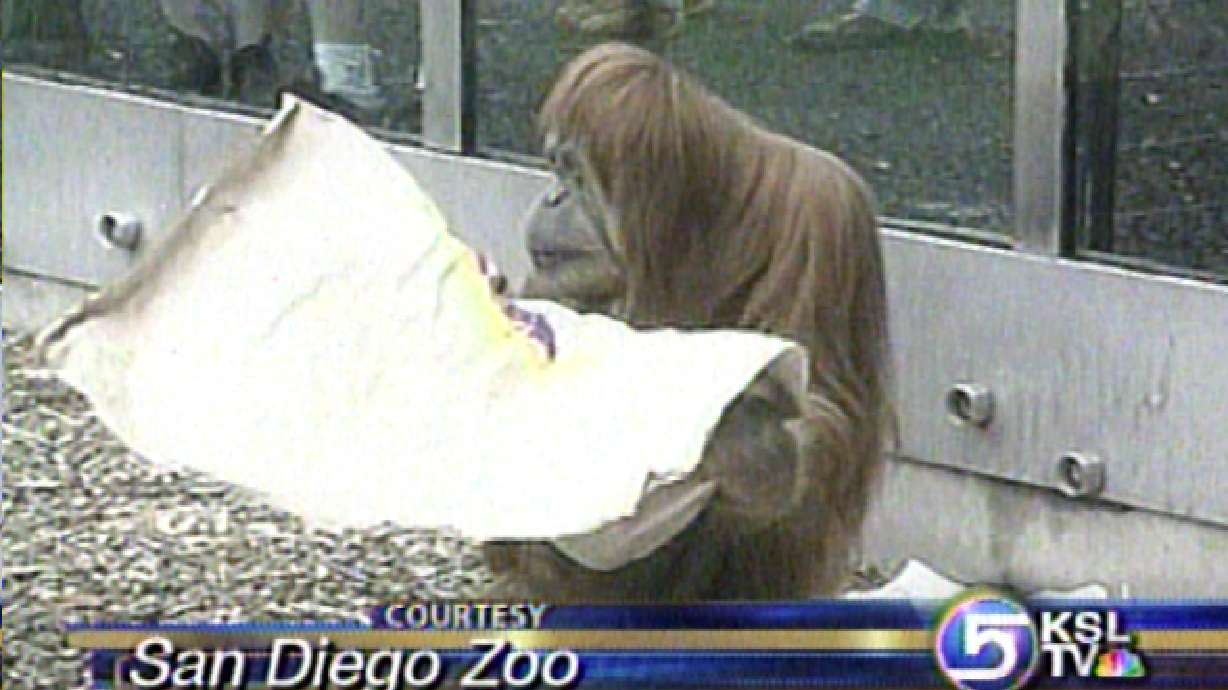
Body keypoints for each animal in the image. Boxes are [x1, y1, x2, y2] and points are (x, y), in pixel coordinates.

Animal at [483, 43, 894, 601]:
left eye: (574, 171)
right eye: (553, 165)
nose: (552, 196)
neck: (685, 243)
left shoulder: (821, 216)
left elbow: (829, 408)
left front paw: (750, 445)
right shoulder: (551, 277)